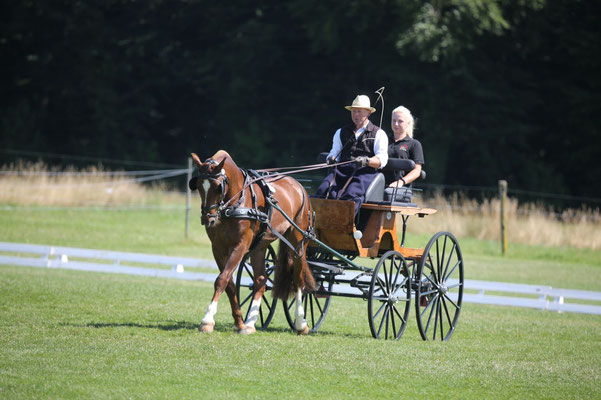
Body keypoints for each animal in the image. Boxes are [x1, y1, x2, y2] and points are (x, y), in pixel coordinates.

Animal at [190, 150, 316, 334]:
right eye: (199, 185)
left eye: (218, 187)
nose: (208, 219)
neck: (235, 203)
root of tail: (299, 187)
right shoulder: (218, 248)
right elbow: (229, 284)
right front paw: (239, 322)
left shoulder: (240, 246)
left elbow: (221, 280)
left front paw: (207, 320)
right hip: (260, 247)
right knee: (261, 281)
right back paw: (250, 323)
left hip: (298, 244)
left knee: (298, 279)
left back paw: (301, 323)